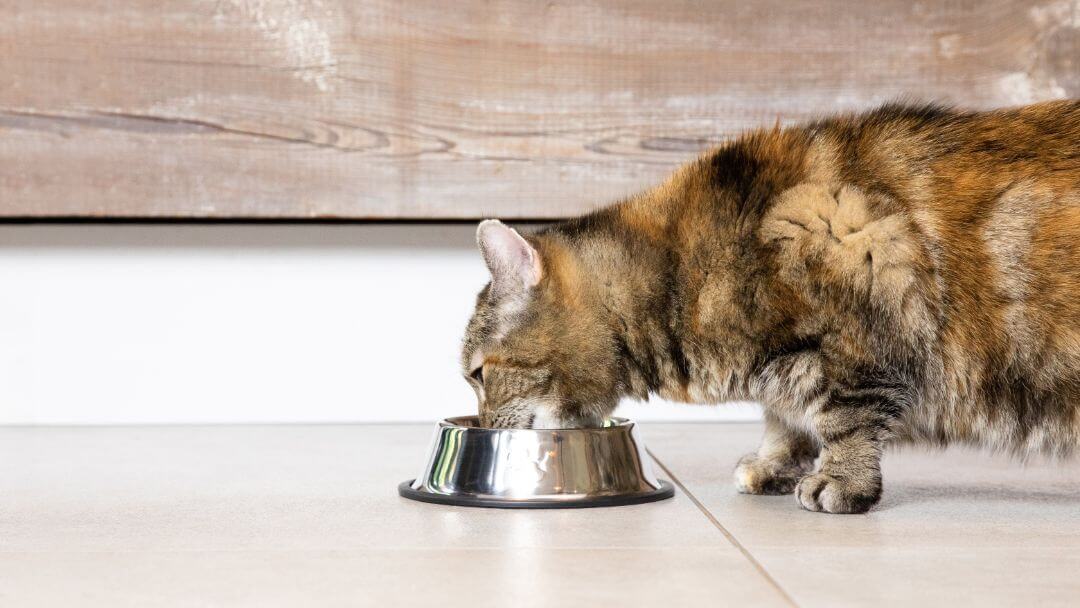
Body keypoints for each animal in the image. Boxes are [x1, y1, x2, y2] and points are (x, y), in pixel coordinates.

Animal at [457, 100, 1080, 514]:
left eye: (478, 374)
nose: (482, 425)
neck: (682, 272)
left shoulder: (865, 291)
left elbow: (847, 416)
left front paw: (841, 480)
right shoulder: (788, 367)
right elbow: (784, 415)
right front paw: (775, 463)